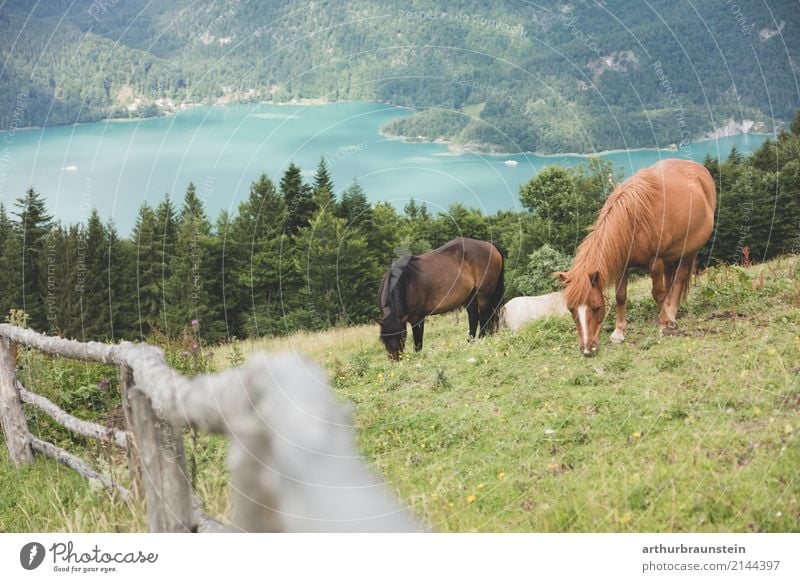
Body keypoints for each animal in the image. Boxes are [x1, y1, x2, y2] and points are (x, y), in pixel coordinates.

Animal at [376, 238, 504, 360]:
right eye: (384, 340)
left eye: (402, 337)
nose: (395, 361)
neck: (407, 282)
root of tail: (490, 245)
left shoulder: (417, 318)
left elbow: (418, 342)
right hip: (470, 296)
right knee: (474, 317)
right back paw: (469, 343)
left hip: (483, 294)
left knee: (484, 316)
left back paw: (482, 338)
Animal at [556, 159, 720, 356]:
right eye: (571, 309)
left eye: (596, 308)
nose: (587, 350)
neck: (633, 219)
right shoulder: (622, 265)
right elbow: (621, 296)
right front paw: (618, 332)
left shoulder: (655, 262)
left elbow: (657, 293)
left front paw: (664, 325)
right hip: (670, 256)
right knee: (670, 280)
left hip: (689, 251)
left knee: (679, 278)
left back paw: (671, 315)